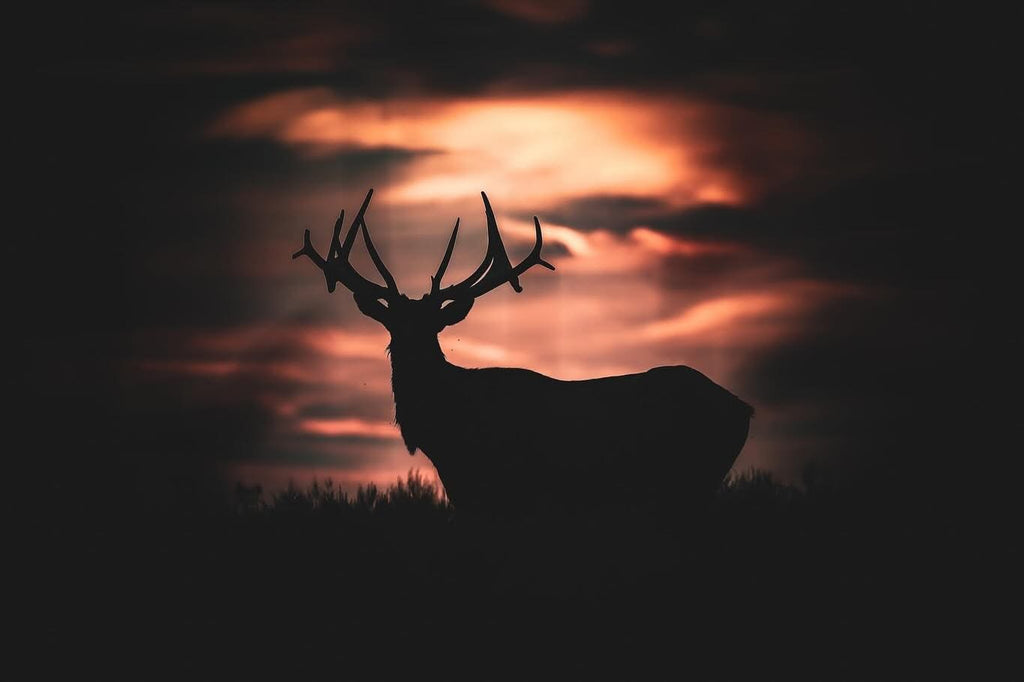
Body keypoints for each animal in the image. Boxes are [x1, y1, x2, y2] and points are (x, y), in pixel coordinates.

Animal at [293, 189, 753, 523]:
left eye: (433, 329)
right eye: (393, 327)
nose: (410, 359)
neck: (449, 436)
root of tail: (743, 407)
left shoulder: (509, 490)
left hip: (692, 479)